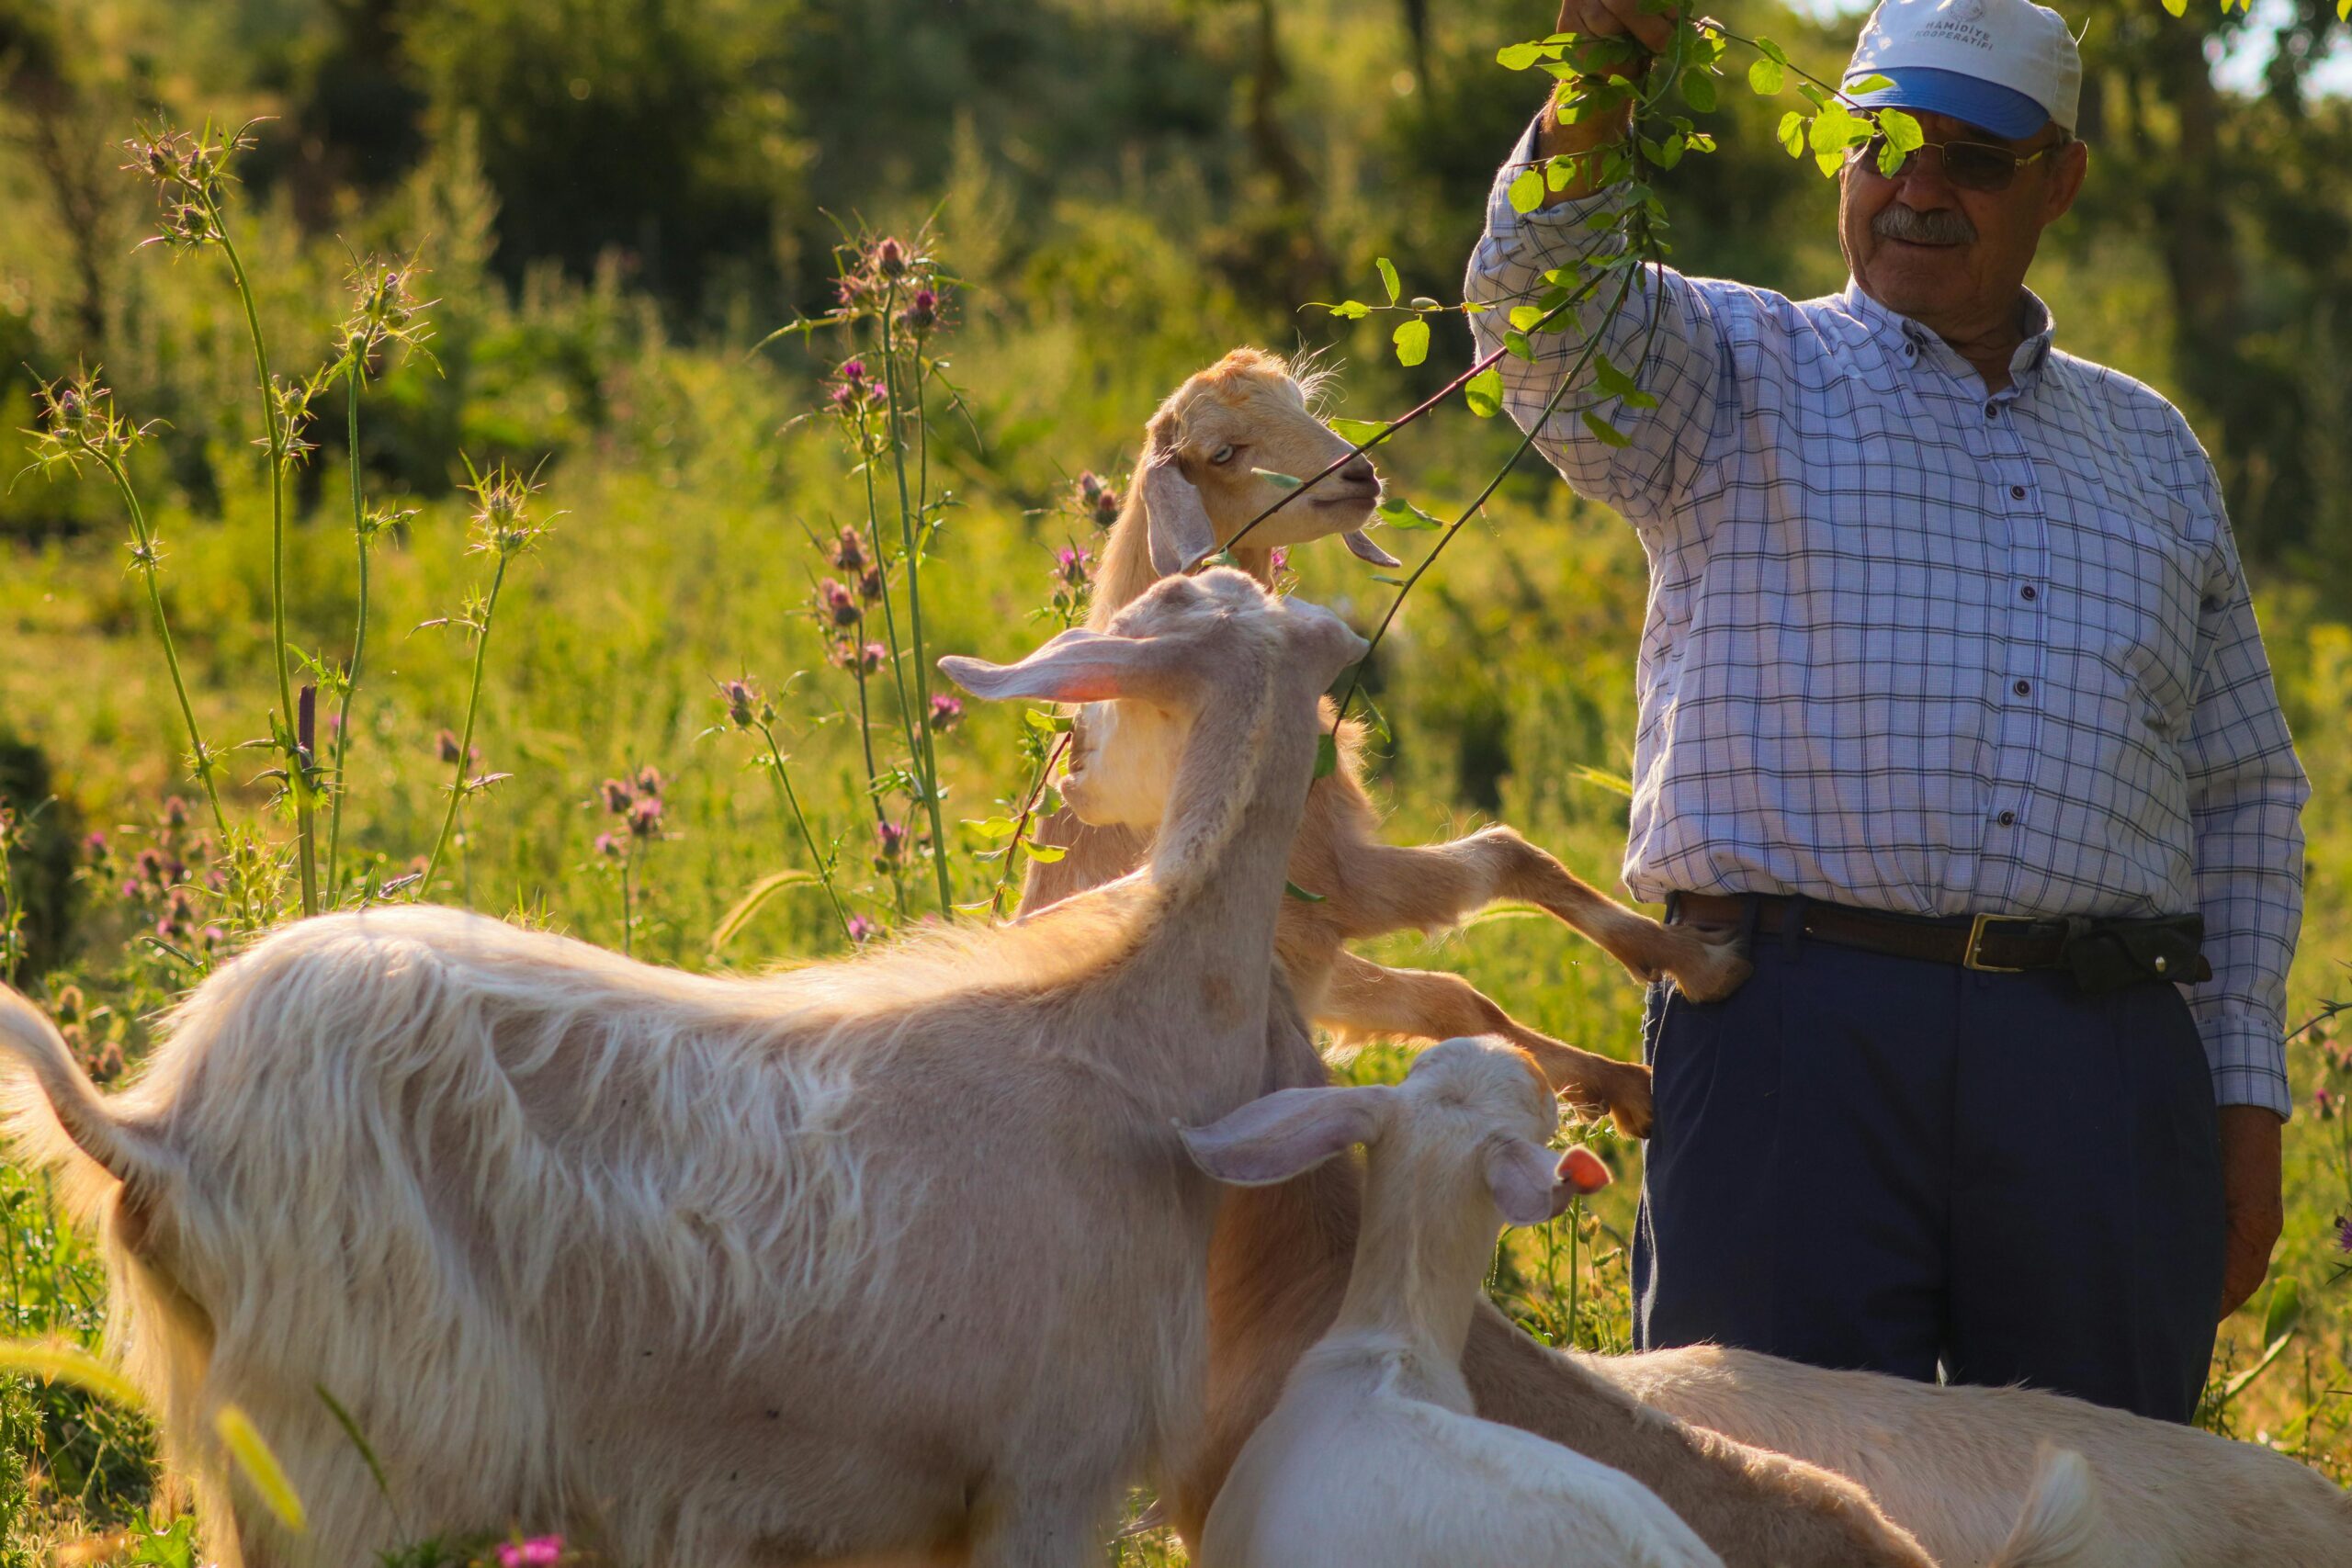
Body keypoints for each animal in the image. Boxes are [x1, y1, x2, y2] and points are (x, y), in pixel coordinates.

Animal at [1023, 347, 1747, 1137]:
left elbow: (1450, 995)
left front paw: (1621, 1088)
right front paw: (1697, 964)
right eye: (1222, 452)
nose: (1358, 474)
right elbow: (1504, 855)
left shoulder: (1312, 949)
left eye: (1301, 403)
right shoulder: (1328, 879)